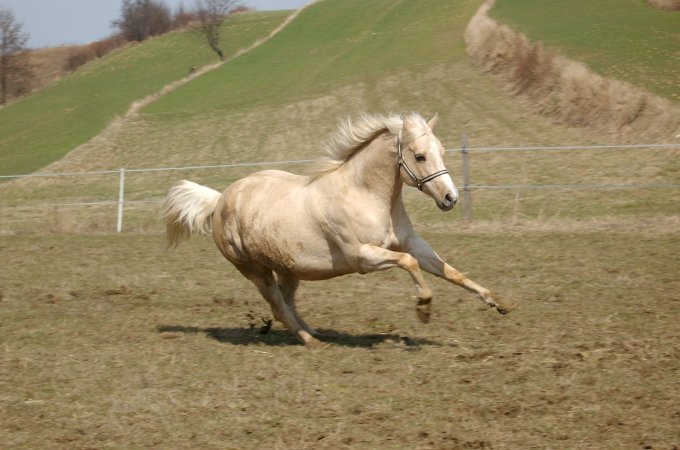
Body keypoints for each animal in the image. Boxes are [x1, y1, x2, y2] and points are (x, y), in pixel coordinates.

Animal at [162, 113, 516, 348]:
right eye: (419, 156)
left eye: (441, 151)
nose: (450, 198)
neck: (366, 195)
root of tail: (220, 200)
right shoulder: (363, 258)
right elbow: (409, 264)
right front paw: (424, 309)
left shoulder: (411, 243)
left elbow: (450, 271)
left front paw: (498, 302)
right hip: (254, 270)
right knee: (278, 306)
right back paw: (311, 341)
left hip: (288, 268)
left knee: (287, 303)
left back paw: (315, 332)